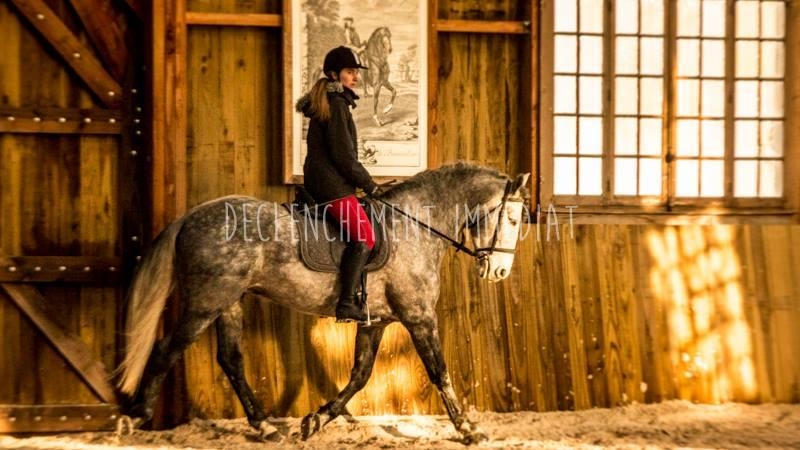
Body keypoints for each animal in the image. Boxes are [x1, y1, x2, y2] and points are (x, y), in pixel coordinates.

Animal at [115, 162, 530, 444]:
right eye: (511, 218)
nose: (500, 271)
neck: (415, 225)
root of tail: (191, 217)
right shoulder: (419, 316)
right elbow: (439, 371)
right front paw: (468, 429)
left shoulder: (375, 322)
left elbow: (360, 376)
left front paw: (315, 420)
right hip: (206, 302)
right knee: (168, 349)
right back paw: (135, 417)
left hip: (227, 303)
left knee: (231, 360)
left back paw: (265, 426)